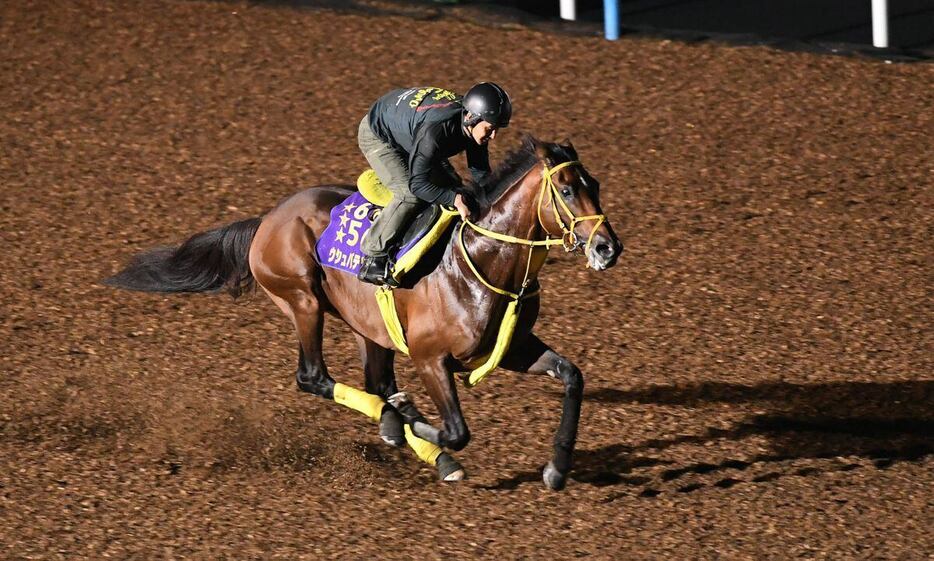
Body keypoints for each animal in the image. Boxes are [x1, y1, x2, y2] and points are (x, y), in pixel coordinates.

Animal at [106, 133, 624, 488]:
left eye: (596, 184)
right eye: (567, 190)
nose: (607, 247)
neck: (483, 261)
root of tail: (266, 220)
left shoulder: (512, 348)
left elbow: (572, 376)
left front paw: (557, 468)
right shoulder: (431, 359)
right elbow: (455, 430)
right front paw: (410, 423)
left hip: (367, 327)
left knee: (375, 381)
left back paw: (417, 438)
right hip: (302, 299)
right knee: (313, 377)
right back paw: (398, 423)